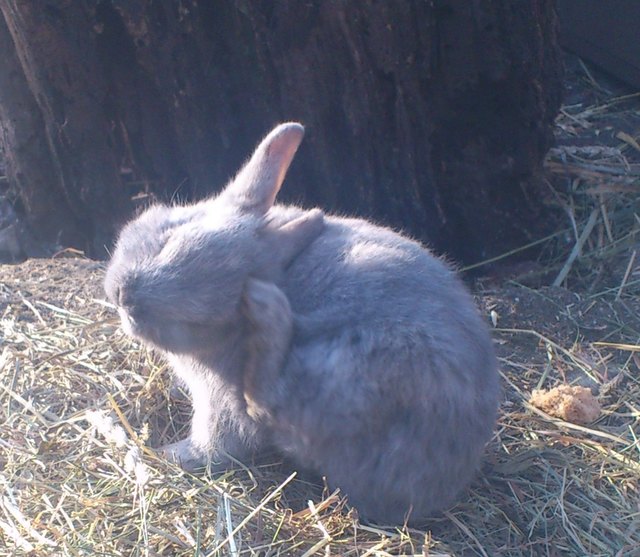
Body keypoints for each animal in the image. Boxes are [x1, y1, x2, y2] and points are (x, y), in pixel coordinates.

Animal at [104, 122, 500, 525]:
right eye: (168, 240)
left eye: (199, 319)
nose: (125, 297)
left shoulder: (217, 401)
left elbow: (217, 443)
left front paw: (168, 454)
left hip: (355, 371)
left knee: (267, 401)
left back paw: (269, 308)